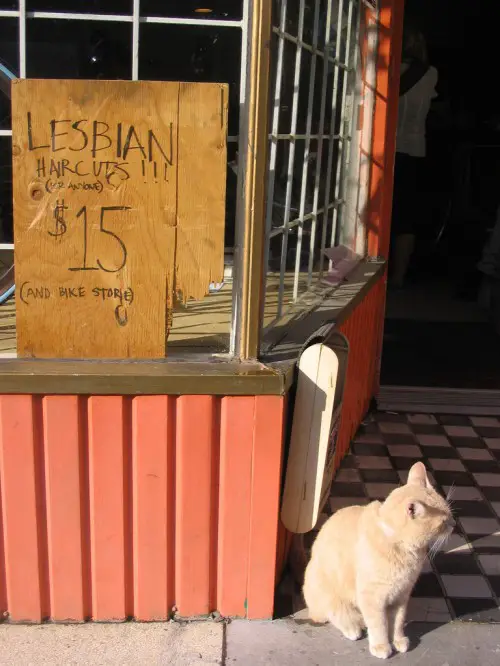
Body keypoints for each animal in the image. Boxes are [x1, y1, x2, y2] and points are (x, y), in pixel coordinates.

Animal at [302, 460, 456, 656]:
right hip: (326, 589)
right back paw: (352, 626)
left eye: (450, 514)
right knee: (333, 612)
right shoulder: (372, 597)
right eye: (443, 521)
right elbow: (379, 624)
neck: (401, 548)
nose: (454, 524)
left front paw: (398, 640)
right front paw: (381, 645)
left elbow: (397, 622)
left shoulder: (401, 595)